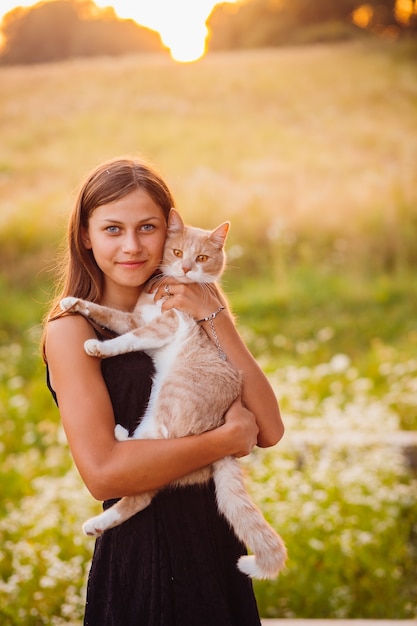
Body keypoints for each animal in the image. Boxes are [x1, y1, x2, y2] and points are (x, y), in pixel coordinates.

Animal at [59, 207, 286, 576]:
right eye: (178, 252)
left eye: (202, 258)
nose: (186, 269)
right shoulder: (134, 319)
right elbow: (108, 313)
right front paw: (75, 302)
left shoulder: (160, 327)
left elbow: (125, 341)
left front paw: (98, 347)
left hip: (167, 409)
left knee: (145, 485)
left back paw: (97, 520)